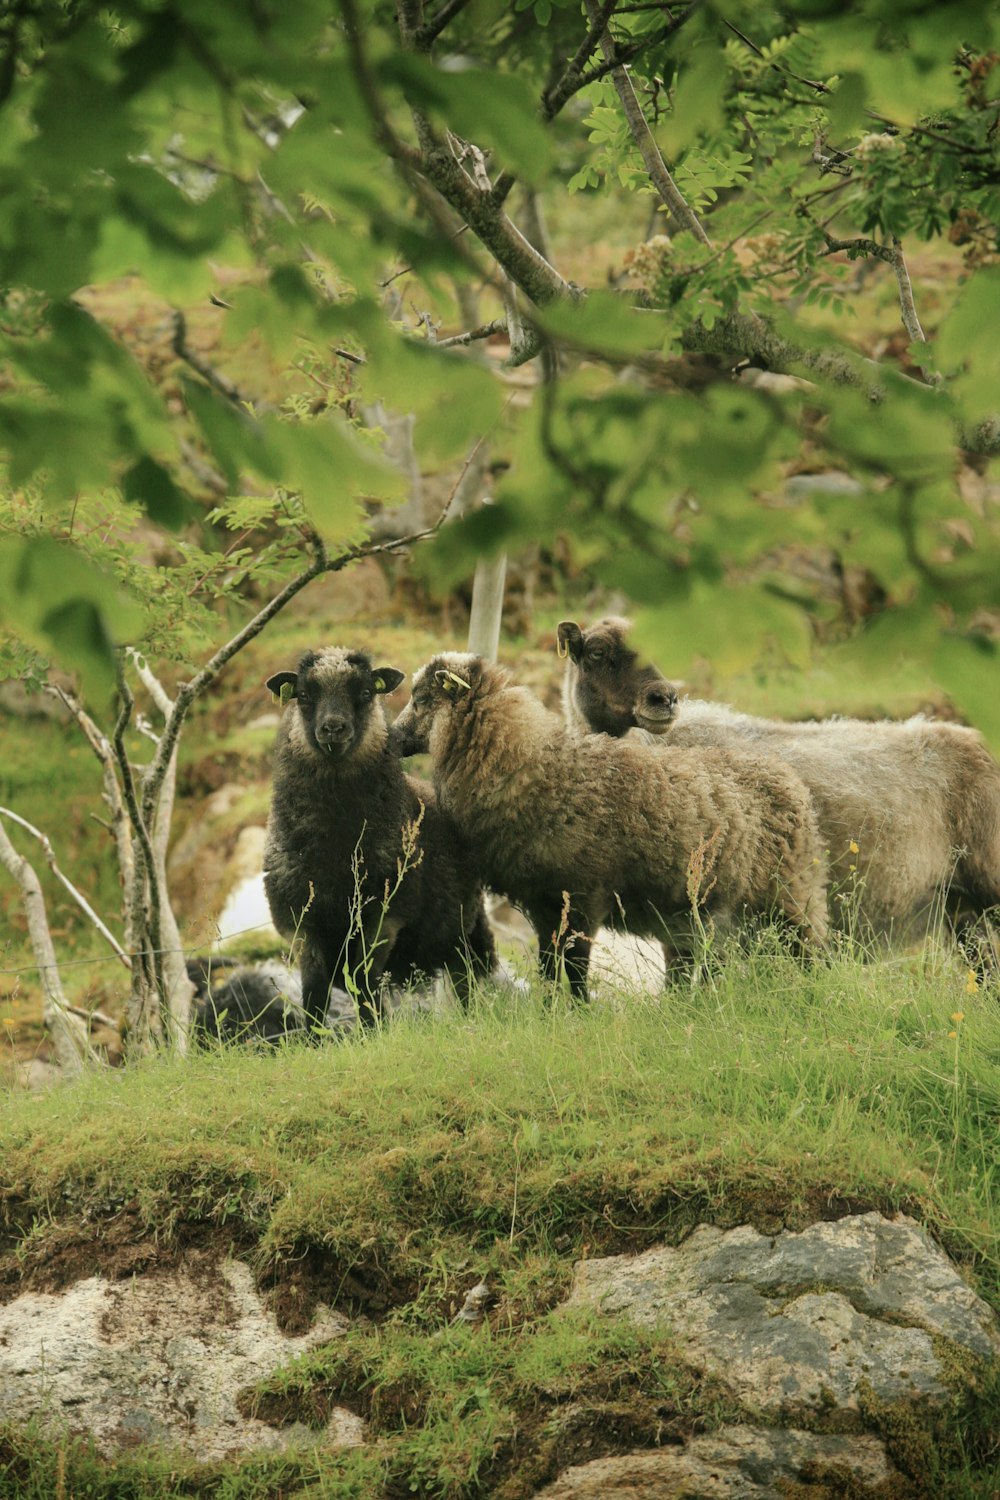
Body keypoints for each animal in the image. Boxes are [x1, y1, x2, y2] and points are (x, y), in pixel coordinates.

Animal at [265, 645, 497, 1032]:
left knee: (462, 976)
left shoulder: (384, 915)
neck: (337, 846)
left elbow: (363, 977)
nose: (333, 728)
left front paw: (374, 1031)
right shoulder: (300, 921)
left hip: (457, 929)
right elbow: (314, 988)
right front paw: (312, 1038)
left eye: (364, 693)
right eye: (303, 695)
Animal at [389, 651, 827, 990]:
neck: (534, 763)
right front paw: (551, 1013)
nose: (392, 738)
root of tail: (789, 781)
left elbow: (576, 967)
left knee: (813, 952)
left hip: (791, 895)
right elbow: (550, 966)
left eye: (423, 698)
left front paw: (578, 1012)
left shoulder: (584, 894)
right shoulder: (544, 901)